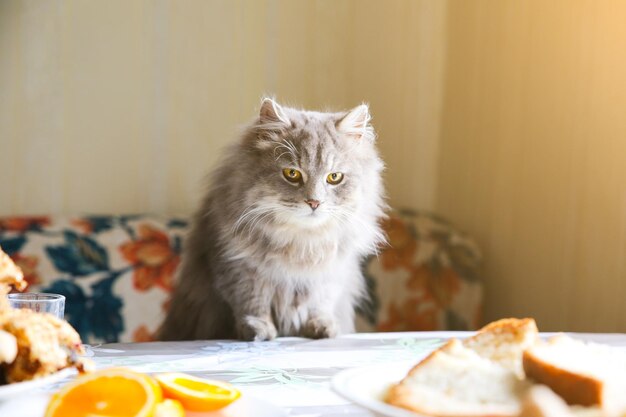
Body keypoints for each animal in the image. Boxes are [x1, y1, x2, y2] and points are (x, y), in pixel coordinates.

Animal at [160, 98, 386, 342]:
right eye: (292, 174)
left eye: (334, 177)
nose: (314, 202)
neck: (302, 242)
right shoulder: (237, 267)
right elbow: (252, 302)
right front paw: (258, 329)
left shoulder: (329, 274)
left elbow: (319, 304)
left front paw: (321, 327)